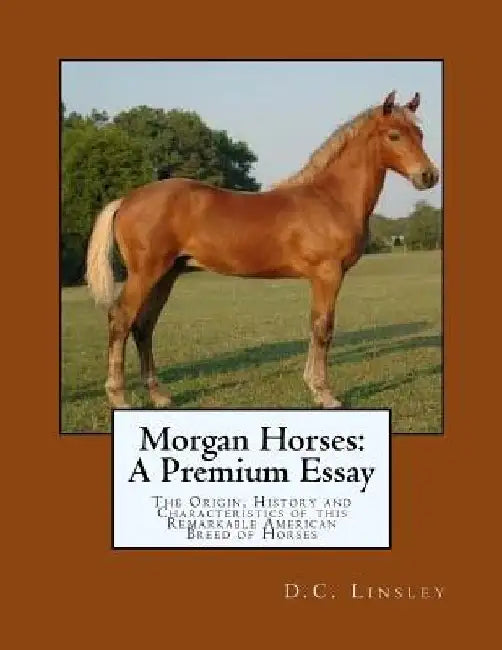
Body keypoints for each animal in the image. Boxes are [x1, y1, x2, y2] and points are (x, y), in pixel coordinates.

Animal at [85, 90, 439, 410]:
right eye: (394, 135)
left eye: (420, 134)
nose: (428, 176)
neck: (330, 198)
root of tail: (126, 200)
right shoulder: (328, 274)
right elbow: (323, 328)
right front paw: (324, 394)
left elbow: (315, 326)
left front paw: (314, 387)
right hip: (146, 273)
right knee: (121, 320)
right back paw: (119, 398)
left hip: (167, 275)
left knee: (143, 326)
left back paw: (159, 395)